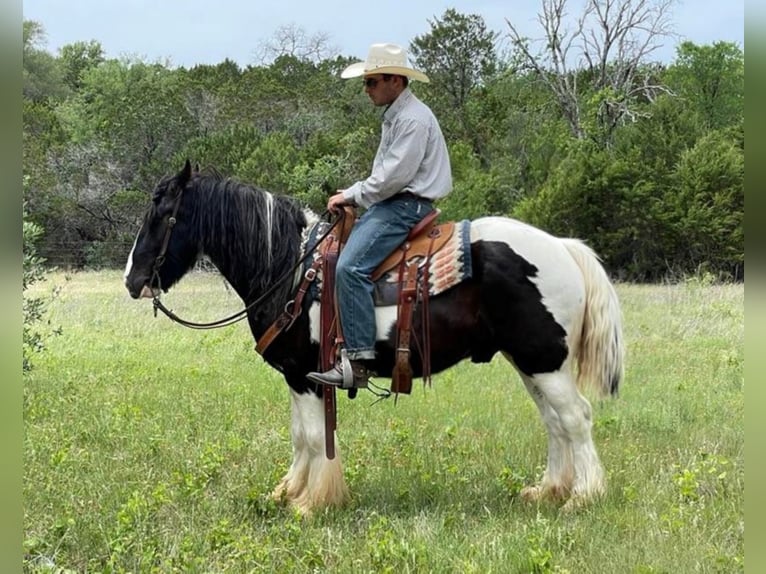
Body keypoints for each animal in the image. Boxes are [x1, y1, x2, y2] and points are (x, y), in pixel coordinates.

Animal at [126, 161, 628, 512]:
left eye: (162, 216)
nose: (133, 281)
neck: (291, 269)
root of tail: (563, 247)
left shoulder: (309, 378)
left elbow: (314, 438)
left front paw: (311, 502)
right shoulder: (296, 376)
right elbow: (299, 435)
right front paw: (287, 492)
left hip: (544, 361)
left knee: (576, 418)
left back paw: (583, 495)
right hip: (530, 362)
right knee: (554, 422)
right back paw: (548, 491)